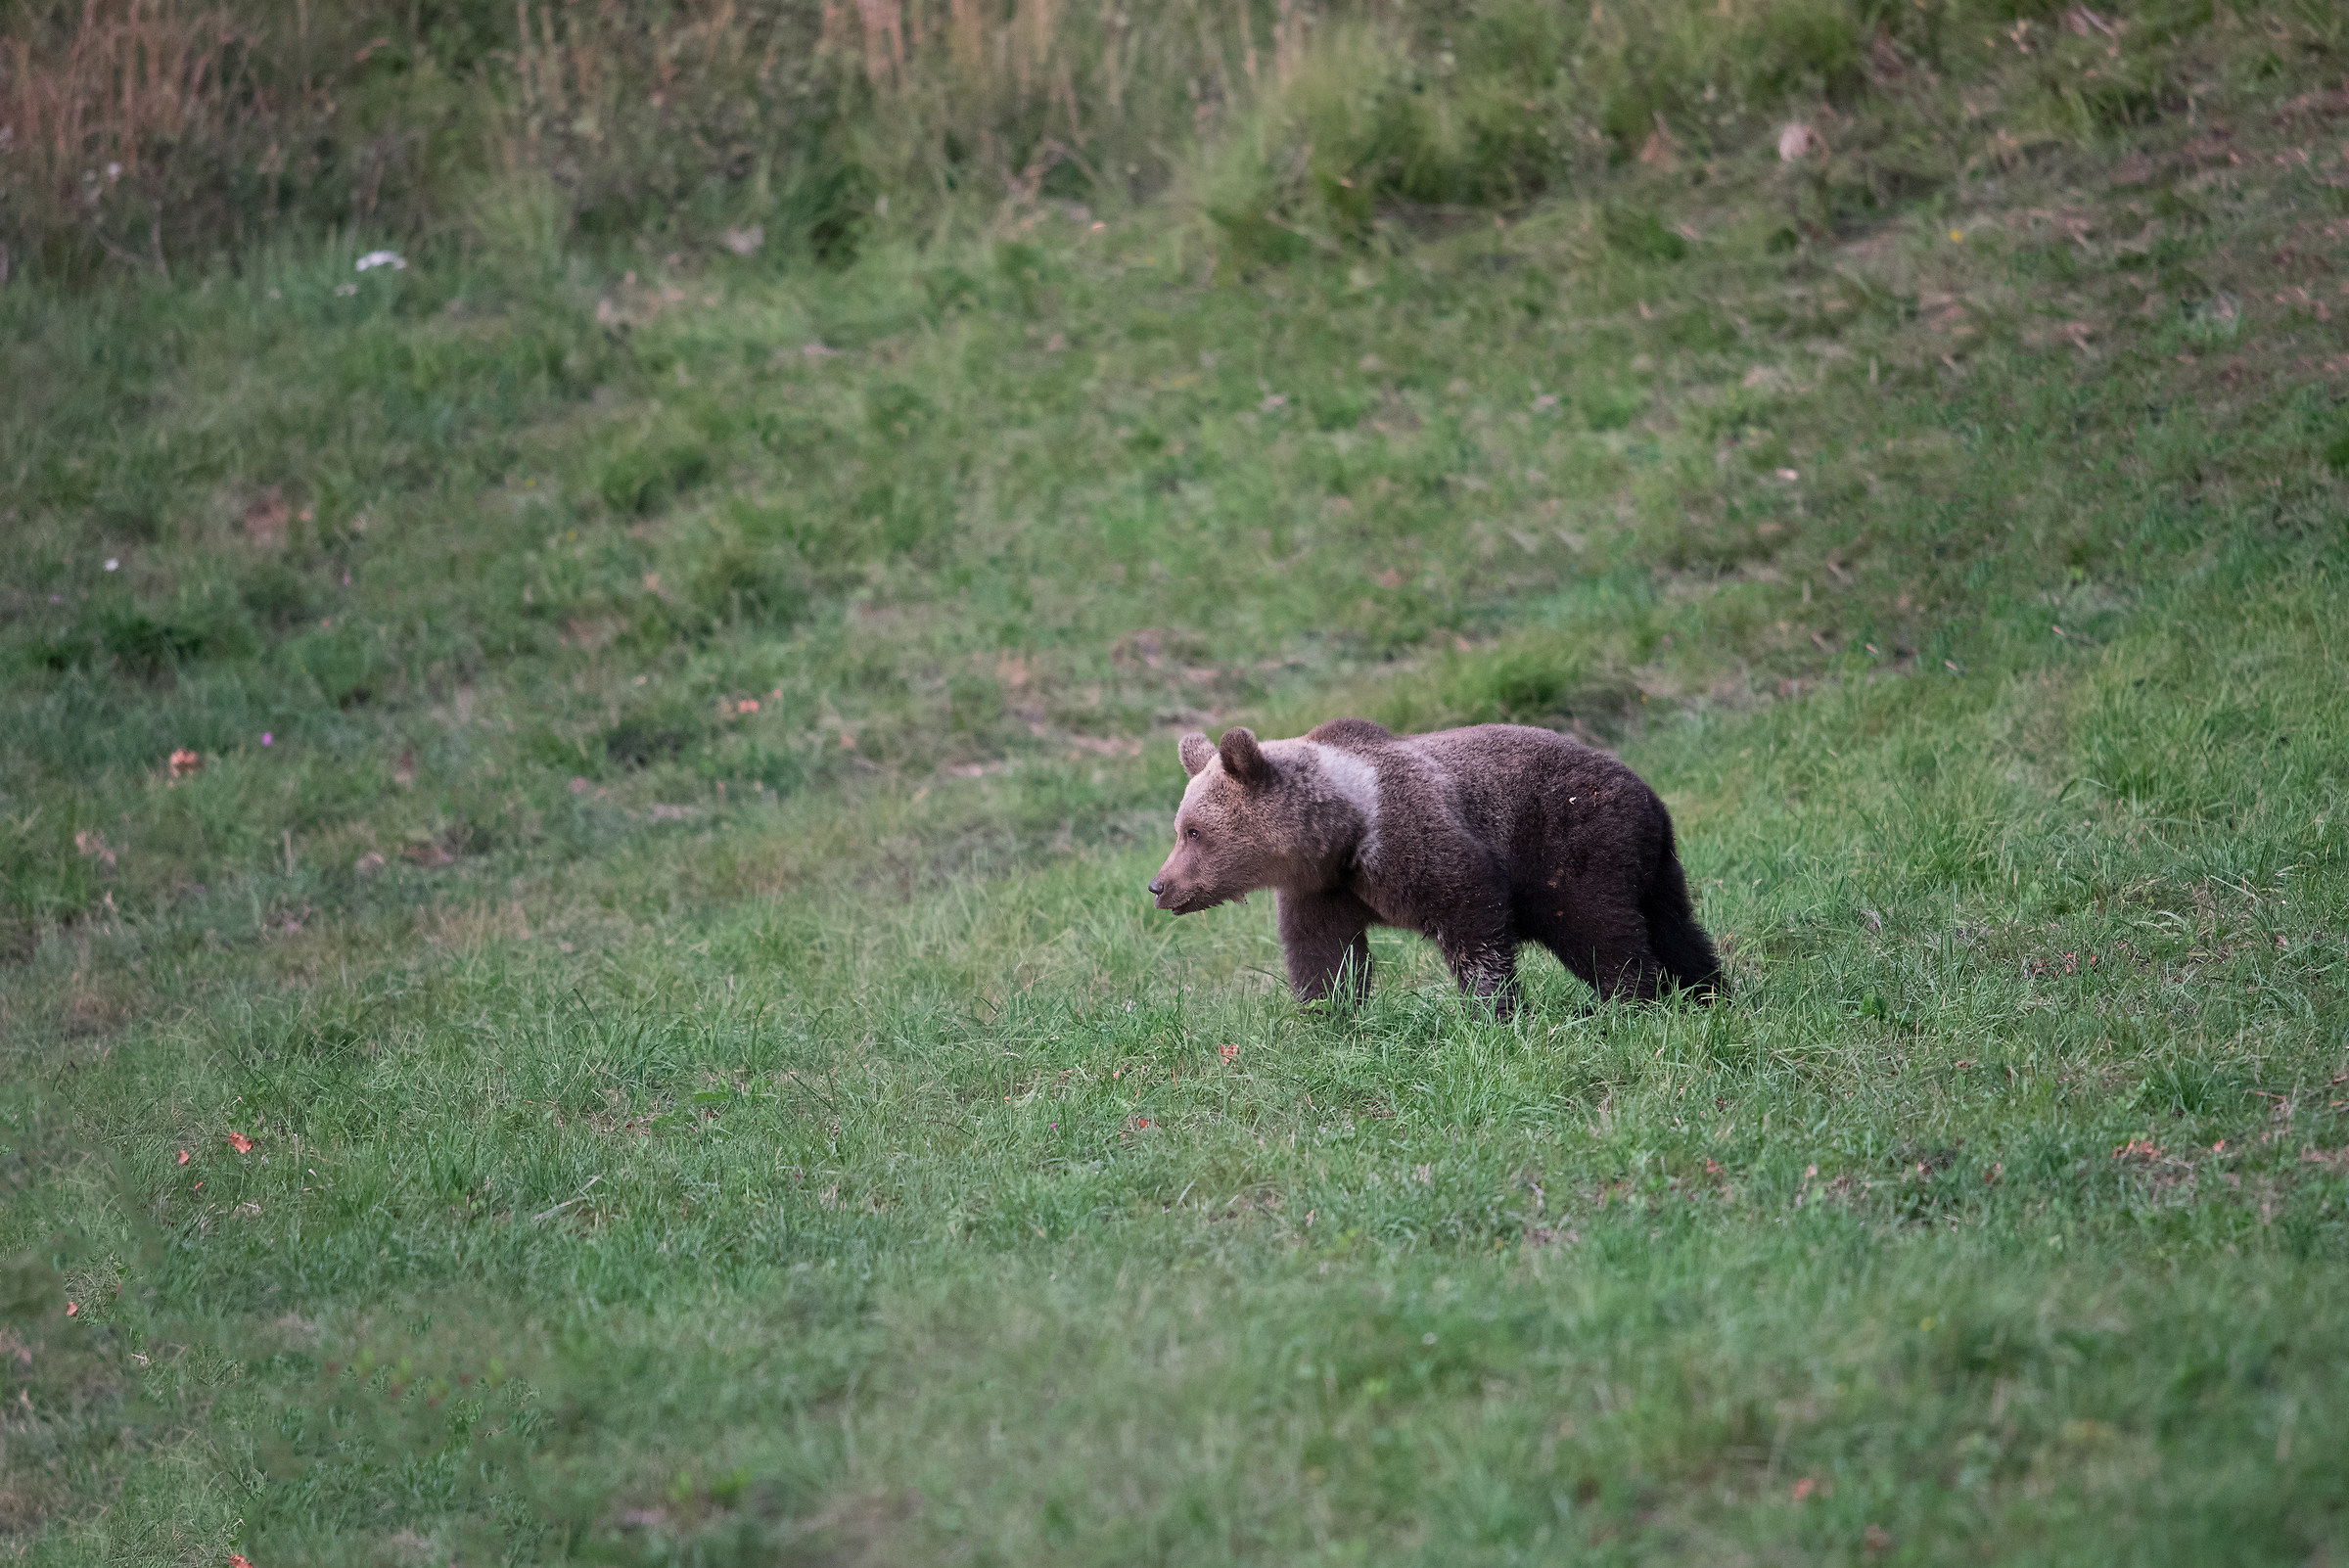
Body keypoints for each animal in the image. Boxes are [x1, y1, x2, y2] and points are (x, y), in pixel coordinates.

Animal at [1148, 719, 1718, 1012]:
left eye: (1193, 831)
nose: (1159, 885)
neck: (1343, 831)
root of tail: (1647, 795)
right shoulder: (1326, 889)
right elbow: (1324, 954)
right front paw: (1331, 1014)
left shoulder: (1417, 841)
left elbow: (1473, 923)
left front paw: (1492, 1009)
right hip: (1655, 865)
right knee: (1676, 928)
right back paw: (1706, 992)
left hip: (1572, 839)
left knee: (1598, 928)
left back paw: (1631, 1002)